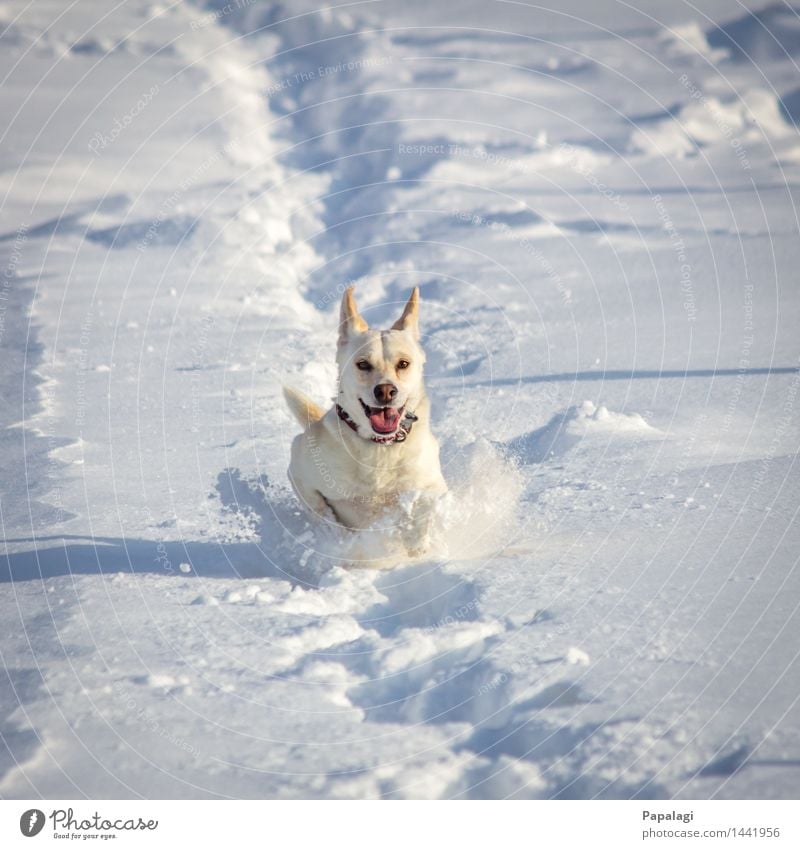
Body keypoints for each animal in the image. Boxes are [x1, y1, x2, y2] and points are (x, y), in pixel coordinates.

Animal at [282, 286, 446, 548]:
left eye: (403, 363)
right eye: (363, 364)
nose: (386, 391)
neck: (380, 448)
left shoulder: (433, 483)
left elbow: (424, 507)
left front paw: (416, 541)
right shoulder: (300, 471)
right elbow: (323, 513)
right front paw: (339, 542)